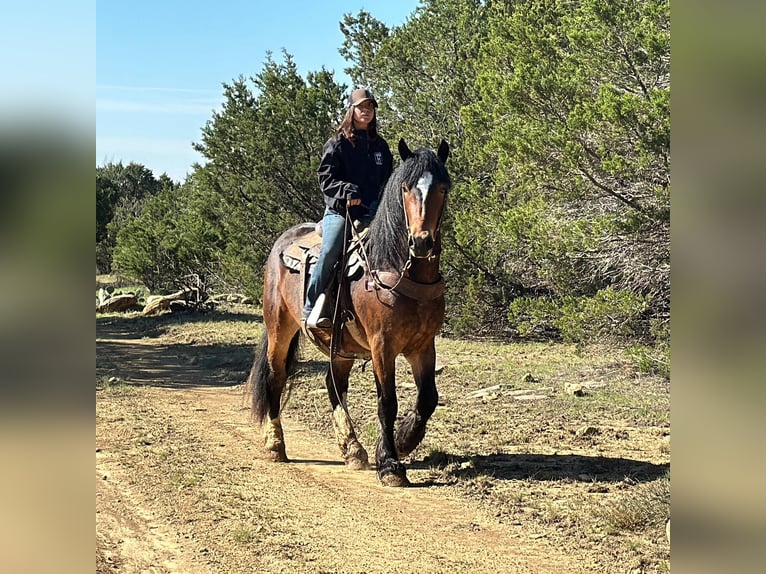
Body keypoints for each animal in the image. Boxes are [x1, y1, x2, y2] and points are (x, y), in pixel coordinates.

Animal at [249, 138, 452, 486]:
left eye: (442, 187)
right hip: (279, 328)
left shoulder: (423, 345)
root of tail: (282, 243)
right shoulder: (382, 345)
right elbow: (387, 401)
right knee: (276, 377)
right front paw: (390, 464)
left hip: (339, 345)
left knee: (334, 384)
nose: (422, 242)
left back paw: (353, 448)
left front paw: (404, 440)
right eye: (405, 187)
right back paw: (275, 444)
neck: (394, 268)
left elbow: (428, 398)